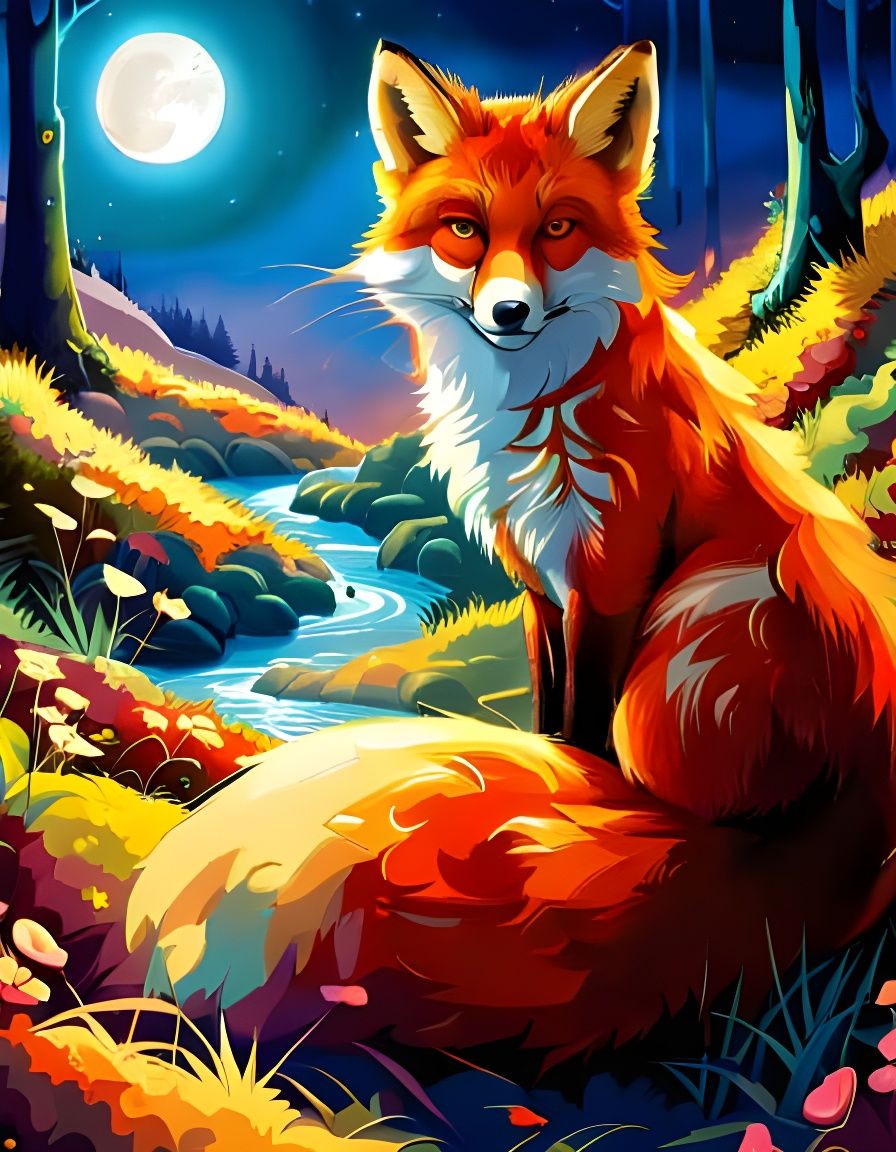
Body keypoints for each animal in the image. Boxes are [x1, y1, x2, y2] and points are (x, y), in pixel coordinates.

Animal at [120, 41, 896, 1067]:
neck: (539, 407)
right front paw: (557, 778)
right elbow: (547, 712)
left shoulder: (613, 574)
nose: (512, 310)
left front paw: (579, 799)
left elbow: (580, 732)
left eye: (559, 228)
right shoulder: (542, 582)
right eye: (465, 229)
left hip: (707, 609)